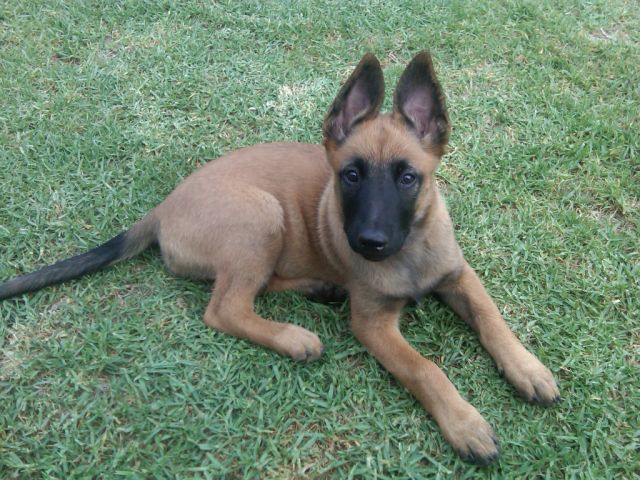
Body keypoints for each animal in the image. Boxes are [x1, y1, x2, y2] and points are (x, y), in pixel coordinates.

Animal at [0, 52, 559, 464]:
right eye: (350, 175)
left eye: (408, 177)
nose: (370, 242)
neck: (412, 249)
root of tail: (161, 209)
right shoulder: (373, 324)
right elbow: (424, 369)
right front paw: (465, 423)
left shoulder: (459, 275)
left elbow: (491, 318)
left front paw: (527, 368)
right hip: (261, 215)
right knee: (225, 308)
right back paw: (294, 338)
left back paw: (317, 288)